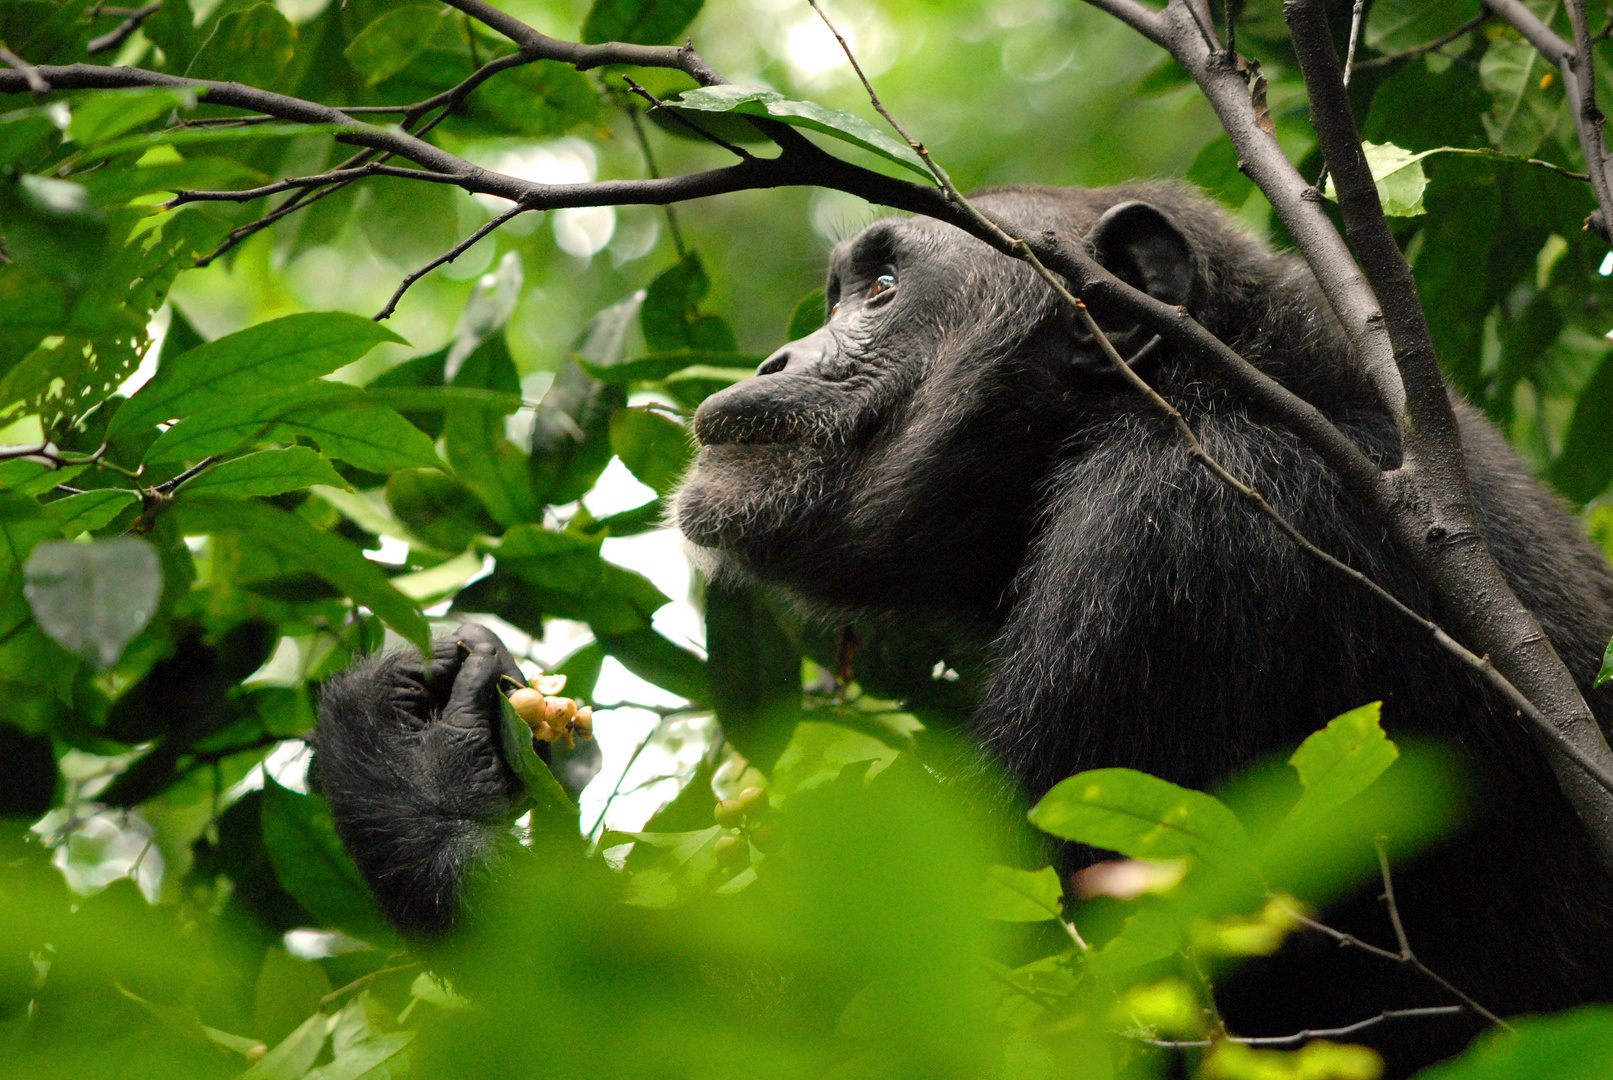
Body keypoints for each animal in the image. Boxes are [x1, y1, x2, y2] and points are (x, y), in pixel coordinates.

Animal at [311, 182, 1613, 1070]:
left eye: (883, 291)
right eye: (840, 294)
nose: (777, 352)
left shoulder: (1171, 548)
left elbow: (875, 1005)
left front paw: (416, 773)